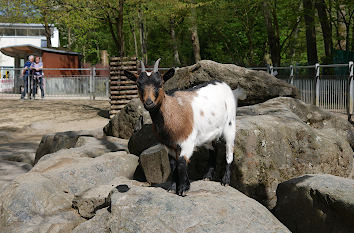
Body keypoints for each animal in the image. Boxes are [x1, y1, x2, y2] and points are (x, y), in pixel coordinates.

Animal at [124, 59, 243, 196]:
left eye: (160, 84)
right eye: (138, 84)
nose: (149, 103)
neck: (173, 111)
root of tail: (224, 85)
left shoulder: (188, 141)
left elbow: (181, 162)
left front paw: (183, 188)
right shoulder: (169, 145)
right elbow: (173, 165)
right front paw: (172, 188)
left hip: (230, 124)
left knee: (229, 150)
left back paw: (225, 180)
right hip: (208, 132)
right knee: (213, 148)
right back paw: (208, 176)